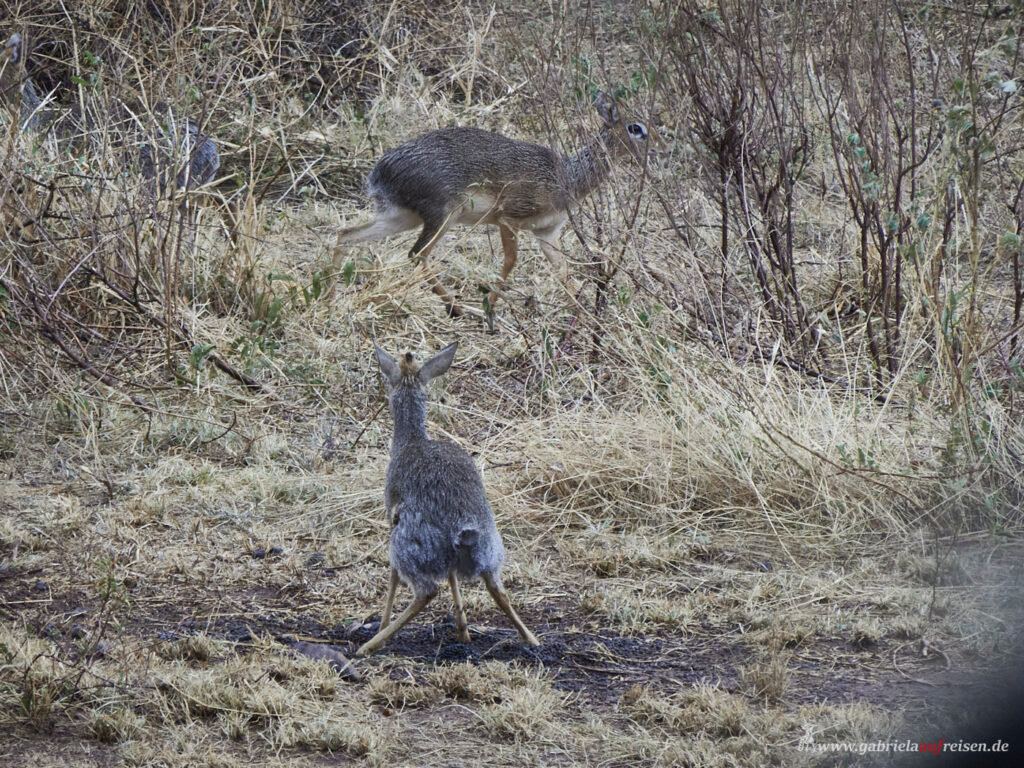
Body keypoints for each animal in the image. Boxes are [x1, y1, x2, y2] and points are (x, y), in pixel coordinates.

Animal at [335, 92, 655, 315]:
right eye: (635, 127)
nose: (658, 145)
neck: (567, 175)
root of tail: (380, 171)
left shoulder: (547, 232)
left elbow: (562, 270)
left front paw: (584, 310)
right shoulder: (508, 217)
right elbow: (511, 262)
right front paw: (489, 304)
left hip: (402, 217)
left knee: (345, 234)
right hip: (443, 215)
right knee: (416, 254)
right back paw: (457, 308)